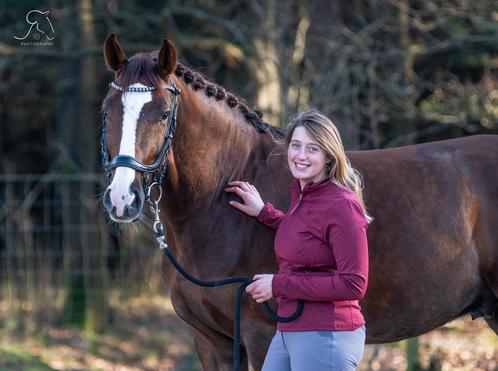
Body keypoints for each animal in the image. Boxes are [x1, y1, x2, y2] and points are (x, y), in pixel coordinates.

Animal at [101, 34, 498, 370]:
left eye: (163, 114)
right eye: (107, 111)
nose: (122, 199)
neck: (216, 202)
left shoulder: (261, 335)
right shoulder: (211, 341)